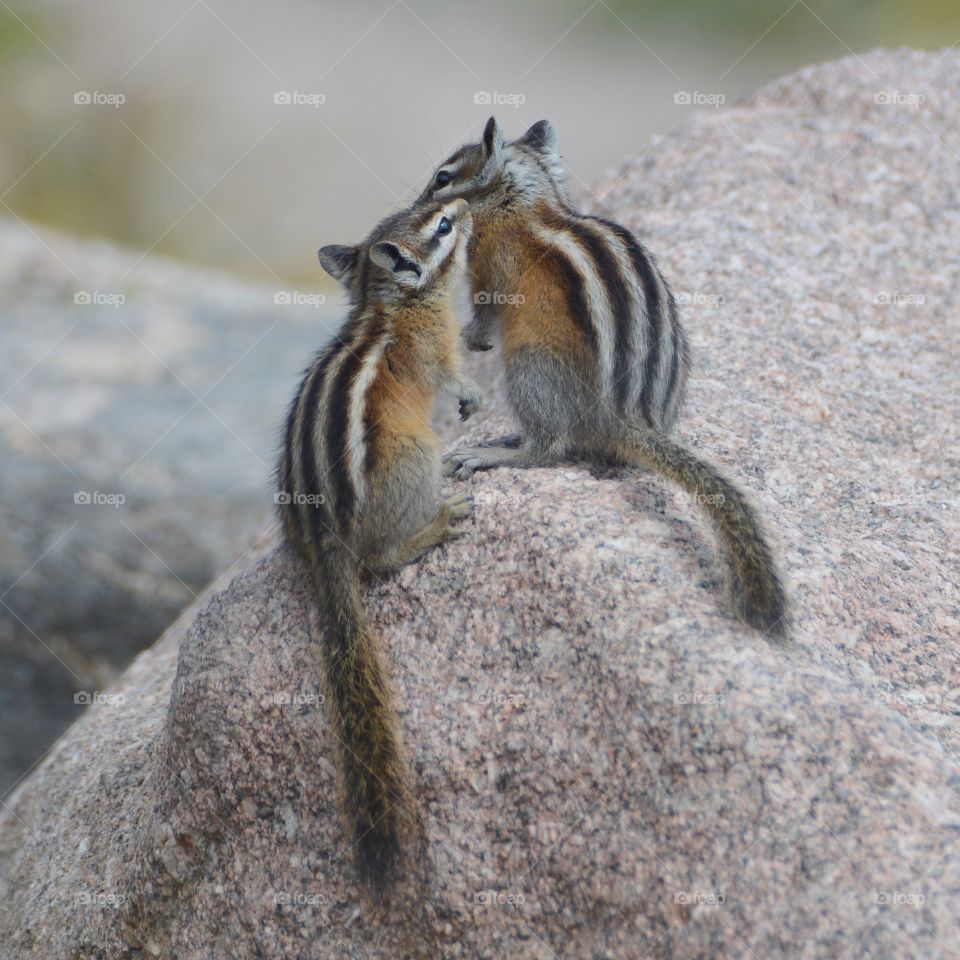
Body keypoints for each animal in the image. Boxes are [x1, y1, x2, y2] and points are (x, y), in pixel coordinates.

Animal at [276, 198, 481, 890]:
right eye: (440, 226)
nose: (465, 205)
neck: (389, 302)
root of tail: (325, 543)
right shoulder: (433, 351)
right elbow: (449, 375)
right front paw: (470, 395)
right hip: (415, 458)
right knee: (381, 561)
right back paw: (439, 521)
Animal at [418, 117, 788, 639]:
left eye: (443, 178)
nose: (418, 206)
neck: (524, 201)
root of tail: (628, 419)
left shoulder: (492, 266)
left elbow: (487, 309)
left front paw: (473, 337)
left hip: (529, 367)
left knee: (549, 447)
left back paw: (490, 453)